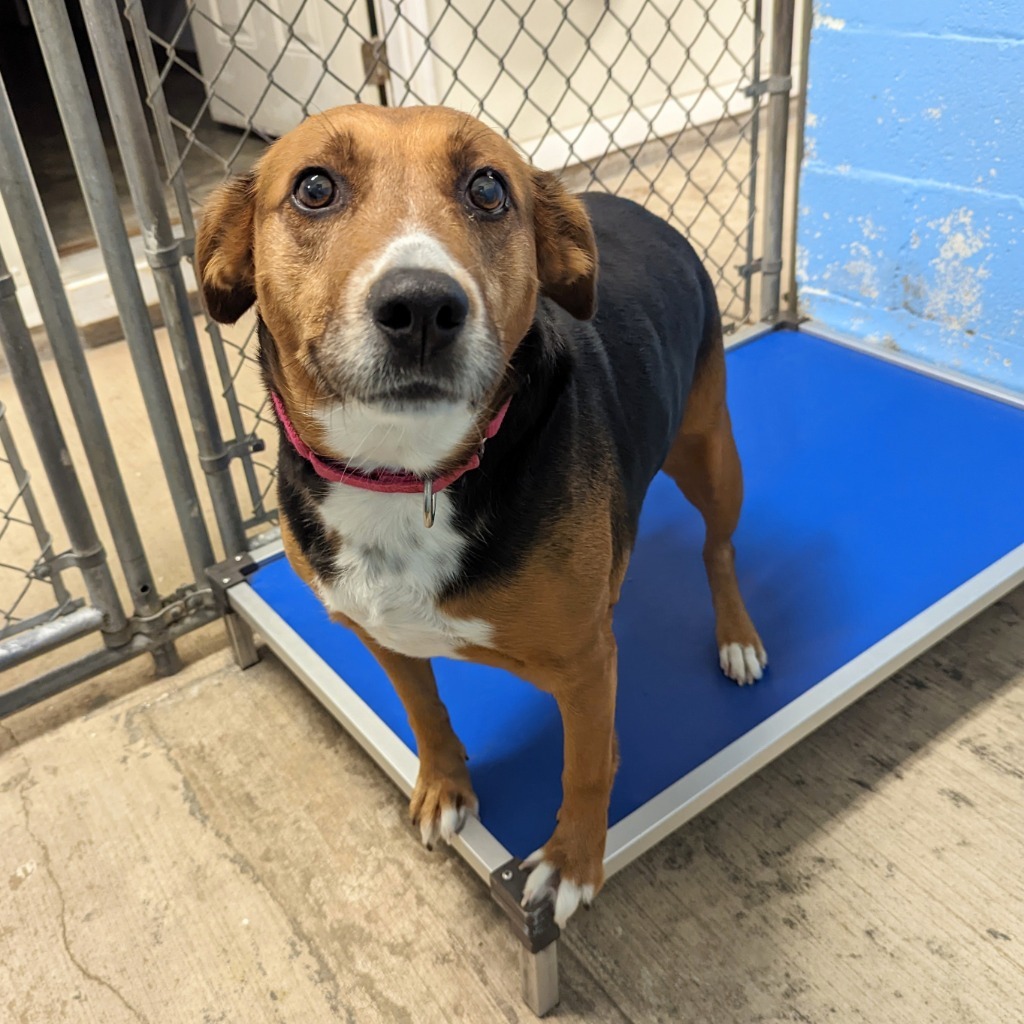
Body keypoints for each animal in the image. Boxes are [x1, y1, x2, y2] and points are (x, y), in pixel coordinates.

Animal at [195, 103, 765, 929]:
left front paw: (571, 863)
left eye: (489, 189)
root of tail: (636, 209)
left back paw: (738, 638)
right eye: (313, 187)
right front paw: (443, 789)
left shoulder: (588, 668)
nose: (422, 308)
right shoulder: (379, 633)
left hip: (710, 451)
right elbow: (425, 712)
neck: (409, 475)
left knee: (719, 550)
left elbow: (586, 767)